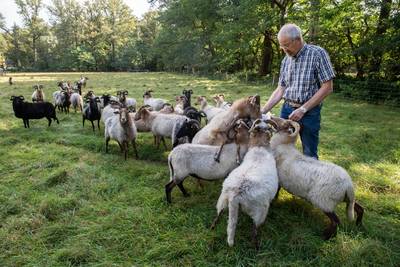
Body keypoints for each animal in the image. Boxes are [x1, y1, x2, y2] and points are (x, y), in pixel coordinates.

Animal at [211, 119, 280, 249]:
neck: (259, 147)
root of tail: (235, 195)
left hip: (223, 198)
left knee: (219, 214)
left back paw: (213, 226)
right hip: (259, 211)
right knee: (254, 230)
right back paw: (256, 247)